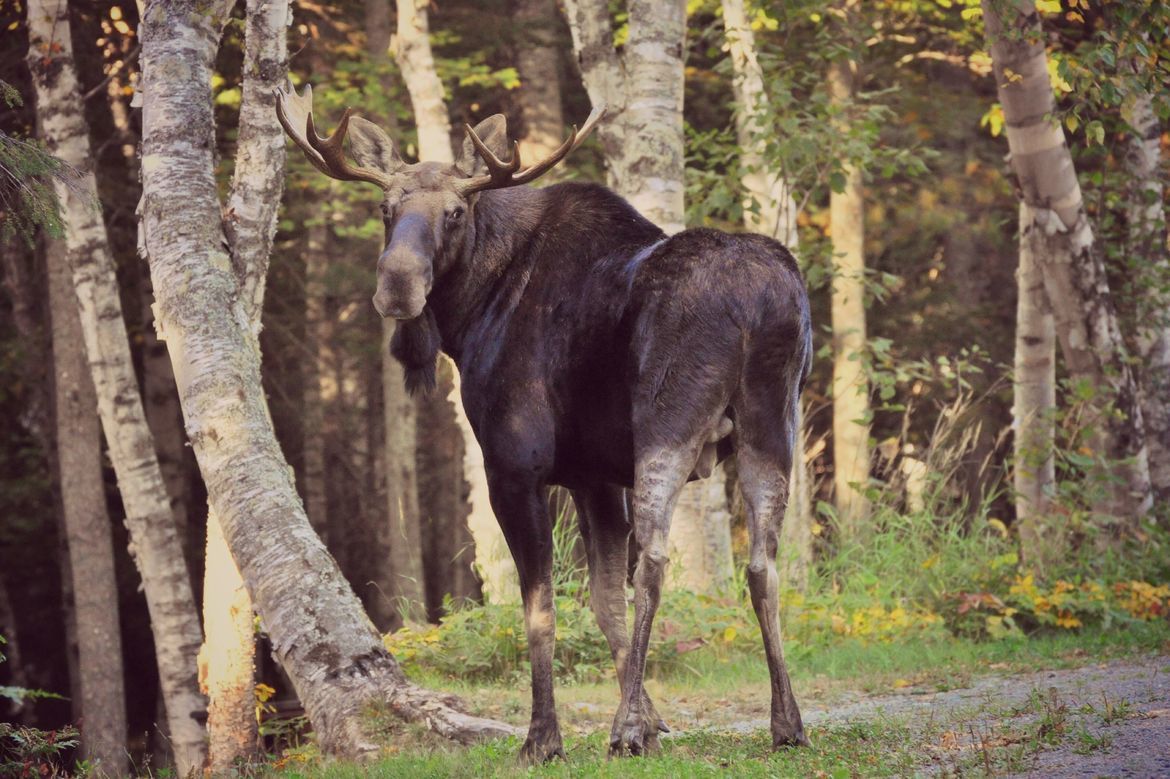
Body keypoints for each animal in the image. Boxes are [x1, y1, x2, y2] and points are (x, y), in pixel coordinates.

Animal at [277, 82, 812, 762]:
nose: (396, 284)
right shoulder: (594, 478)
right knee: (762, 563)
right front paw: (652, 720)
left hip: (668, 420)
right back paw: (786, 722)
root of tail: (755, 299)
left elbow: (541, 610)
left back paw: (626, 729)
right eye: (384, 207)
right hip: (773, 420)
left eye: (455, 212)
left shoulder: (515, 469)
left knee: (656, 560)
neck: (471, 315)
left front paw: (548, 737)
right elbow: (605, 604)